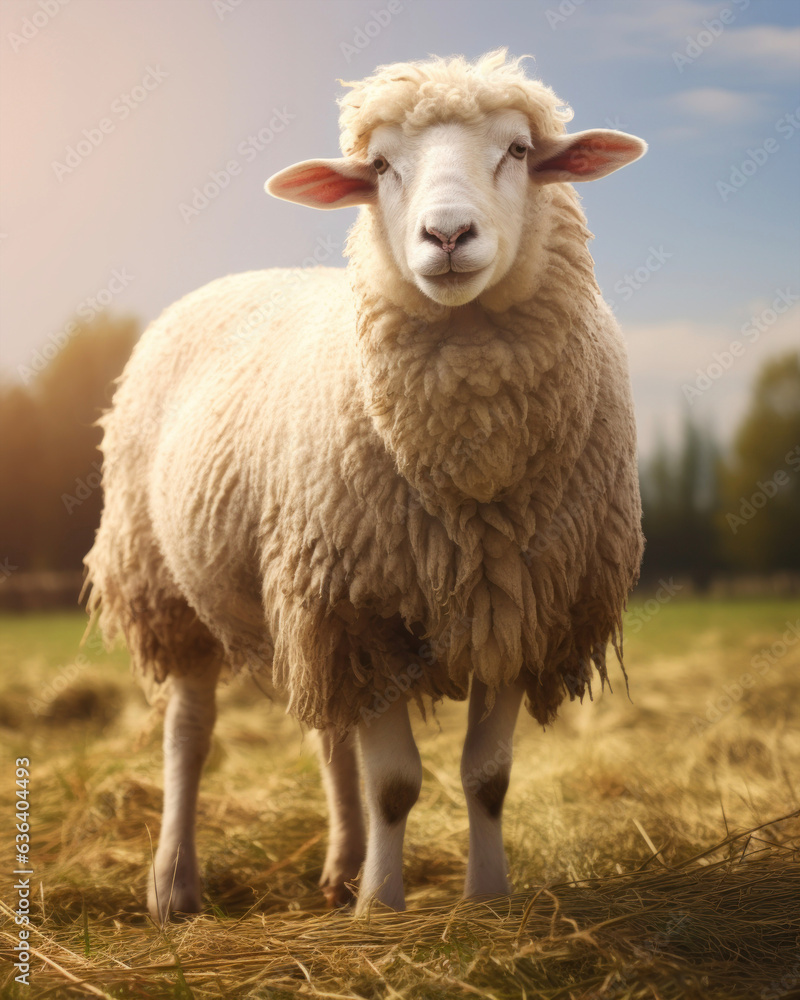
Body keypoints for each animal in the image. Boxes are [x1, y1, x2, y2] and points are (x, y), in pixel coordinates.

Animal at [83, 48, 644, 920]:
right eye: (379, 165)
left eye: (520, 150)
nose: (446, 235)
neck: (473, 477)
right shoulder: (365, 609)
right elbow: (395, 785)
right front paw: (382, 907)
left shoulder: (512, 604)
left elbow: (487, 778)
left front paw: (487, 899)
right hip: (169, 585)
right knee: (190, 730)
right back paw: (176, 886)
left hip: (304, 596)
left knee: (328, 732)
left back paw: (341, 866)